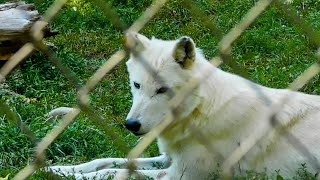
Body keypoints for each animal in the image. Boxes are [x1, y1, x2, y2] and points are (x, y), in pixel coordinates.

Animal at [46, 33, 320, 179]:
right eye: (136, 85)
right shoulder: (168, 159)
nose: (131, 125)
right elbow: (102, 161)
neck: (199, 113)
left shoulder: (179, 174)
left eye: (162, 90)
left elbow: (114, 173)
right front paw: (58, 169)